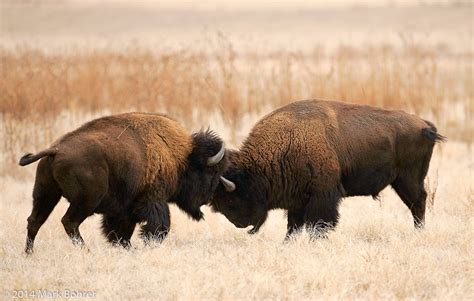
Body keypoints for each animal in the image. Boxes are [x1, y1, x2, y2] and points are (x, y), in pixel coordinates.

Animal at [20, 111, 231, 252]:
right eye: (210, 172)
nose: (207, 198)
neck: (181, 157)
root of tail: (56, 149)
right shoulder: (154, 200)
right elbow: (159, 225)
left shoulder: (124, 209)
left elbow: (121, 230)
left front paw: (126, 247)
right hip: (85, 201)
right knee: (69, 222)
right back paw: (86, 250)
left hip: (46, 194)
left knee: (34, 221)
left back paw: (29, 253)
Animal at [209, 99, 446, 238]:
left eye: (232, 199)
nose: (240, 224)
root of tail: (425, 125)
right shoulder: (297, 200)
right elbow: (293, 226)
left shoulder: (323, 196)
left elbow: (320, 224)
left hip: (408, 179)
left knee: (418, 202)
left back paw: (419, 232)